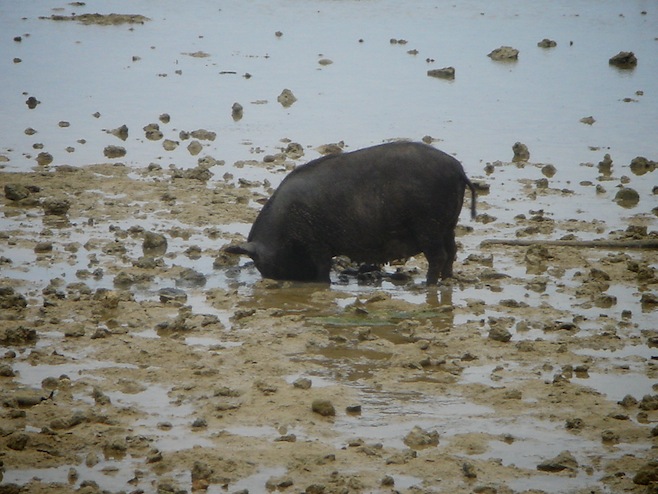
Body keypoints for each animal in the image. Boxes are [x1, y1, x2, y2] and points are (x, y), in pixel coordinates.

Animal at [225, 141, 476, 284]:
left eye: (262, 264)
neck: (282, 232)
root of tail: (458, 169)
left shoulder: (317, 243)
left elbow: (323, 268)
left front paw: (322, 283)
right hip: (447, 225)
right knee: (452, 251)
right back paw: (446, 279)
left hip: (428, 225)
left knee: (439, 256)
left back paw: (429, 283)